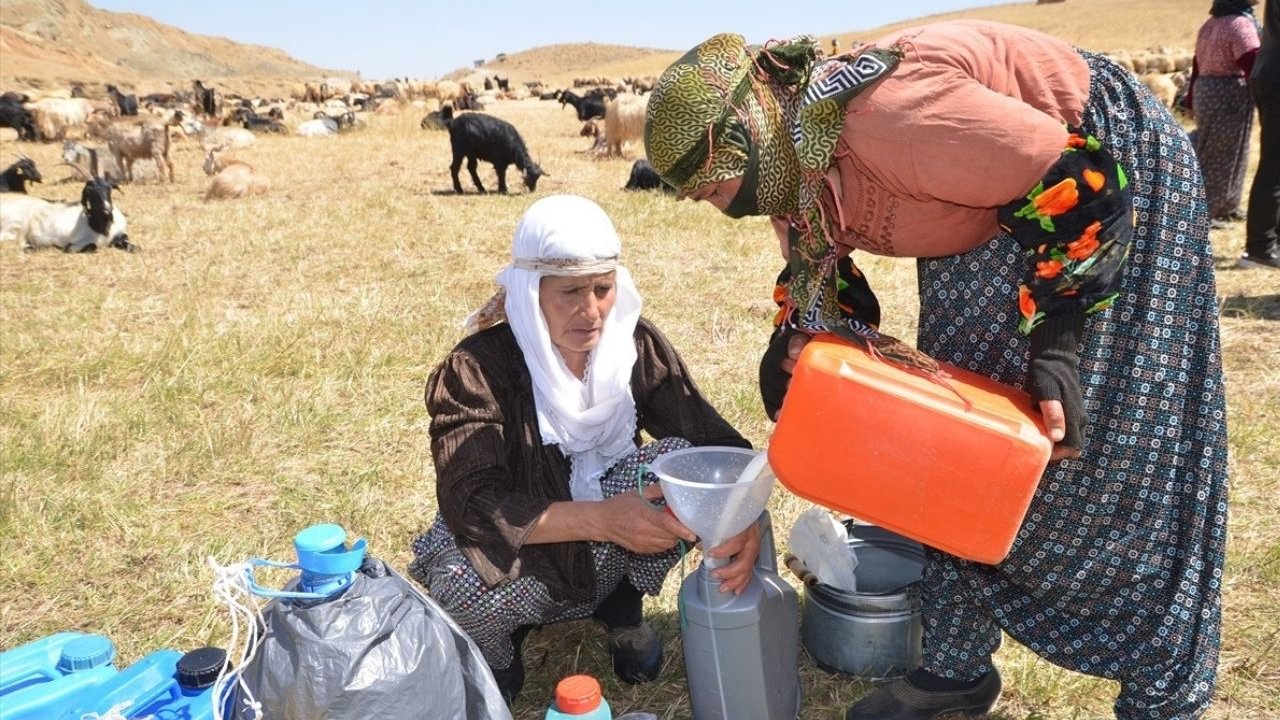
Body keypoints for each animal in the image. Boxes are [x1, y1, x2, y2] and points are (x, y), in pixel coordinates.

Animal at [0, 176, 135, 252]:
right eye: (90, 193)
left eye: (109, 189)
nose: (107, 208)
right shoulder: (74, 244)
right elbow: (92, 246)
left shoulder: (120, 235)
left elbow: (132, 246)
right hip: (17, 226)